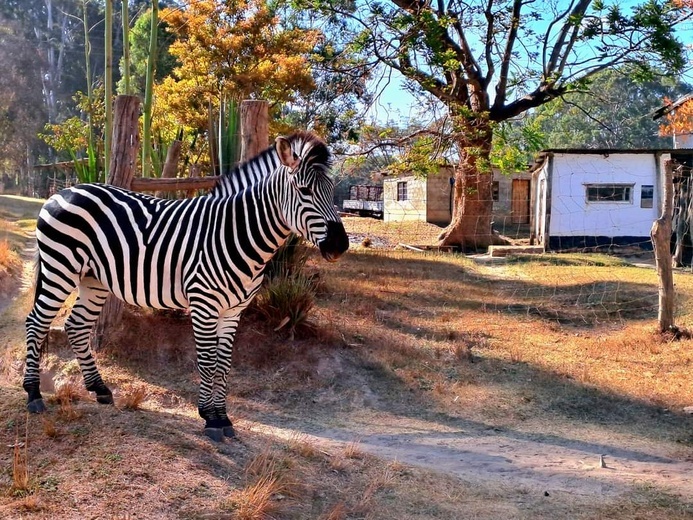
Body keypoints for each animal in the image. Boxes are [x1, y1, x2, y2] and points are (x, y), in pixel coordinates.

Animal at [23, 132, 348, 440]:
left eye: (332, 192)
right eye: (304, 191)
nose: (340, 246)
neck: (236, 234)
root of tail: (64, 190)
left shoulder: (234, 311)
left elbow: (224, 363)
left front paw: (224, 418)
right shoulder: (204, 304)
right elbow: (207, 361)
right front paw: (211, 419)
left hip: (94, 279)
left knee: (76, 326)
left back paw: (99, 389)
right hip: (60, 267)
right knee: (36, 322)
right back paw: (33, 394)